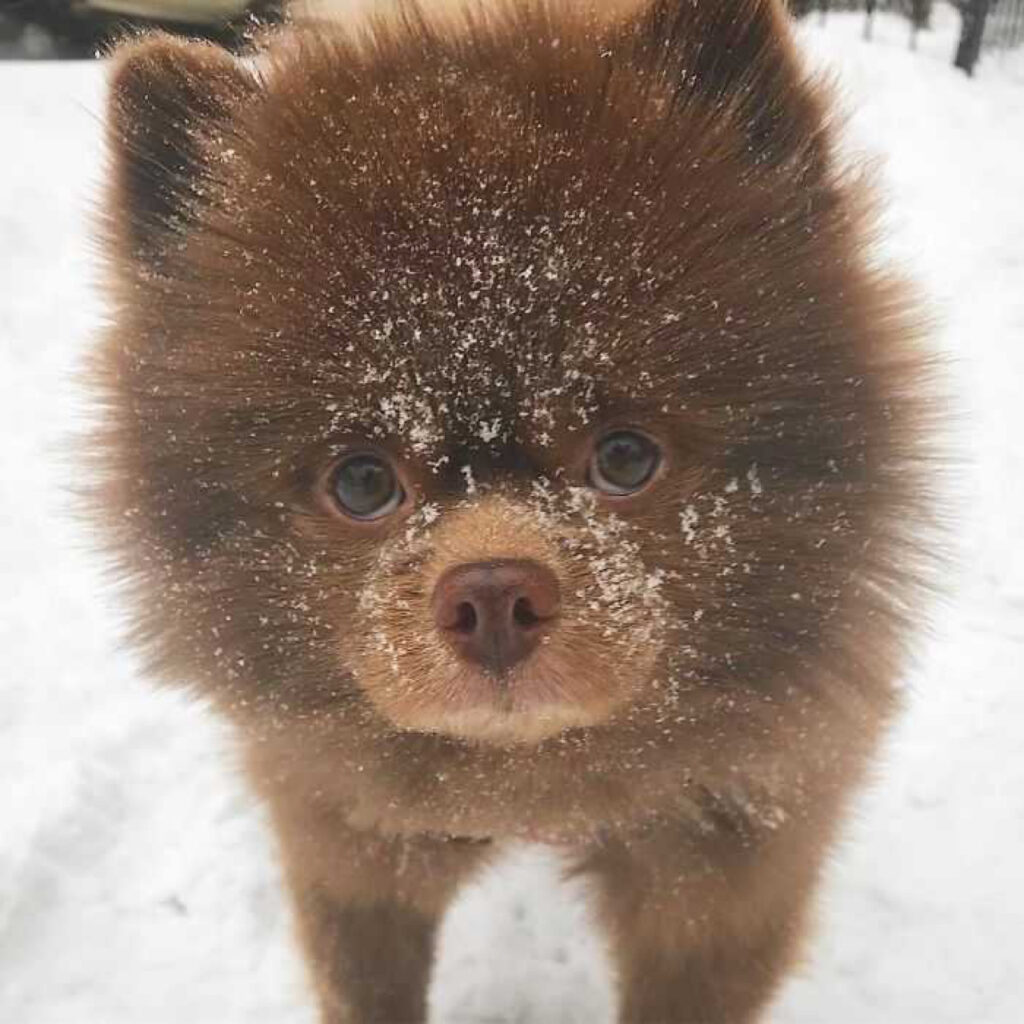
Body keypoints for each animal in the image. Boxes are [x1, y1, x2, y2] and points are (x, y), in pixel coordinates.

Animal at [90, 4, 942, 1019]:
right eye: (362, 483)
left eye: (624, 457)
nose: (493, 591)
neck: (533, 788)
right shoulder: (351, 846)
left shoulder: (720, 878)